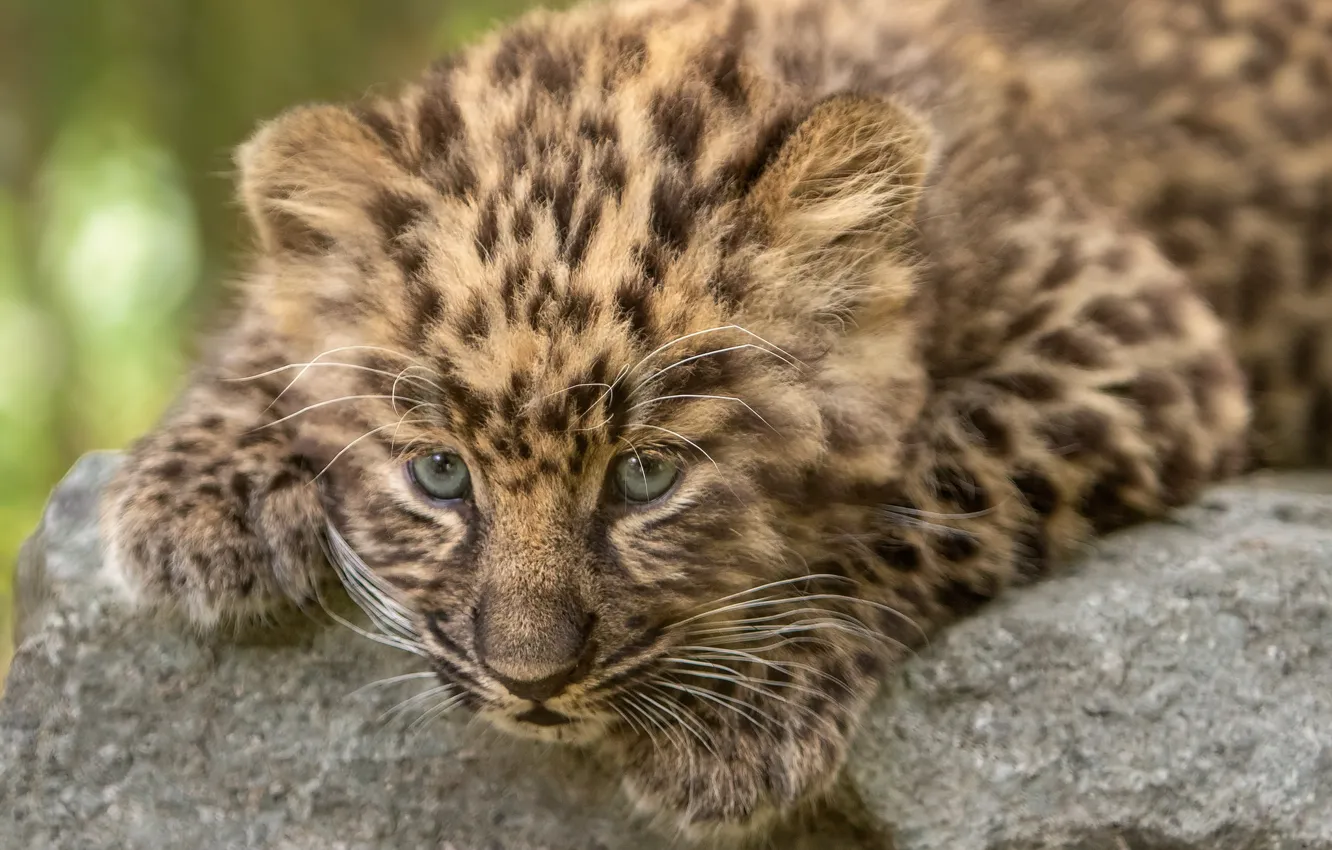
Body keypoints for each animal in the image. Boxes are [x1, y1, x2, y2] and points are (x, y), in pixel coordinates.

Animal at [99, 0, 1332, 842]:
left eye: (648, 478)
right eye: (439, 476)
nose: (530, 681)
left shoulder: (1133, 336)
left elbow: (948, 476)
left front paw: (732, 719)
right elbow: (270, 318)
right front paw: (194, 499)